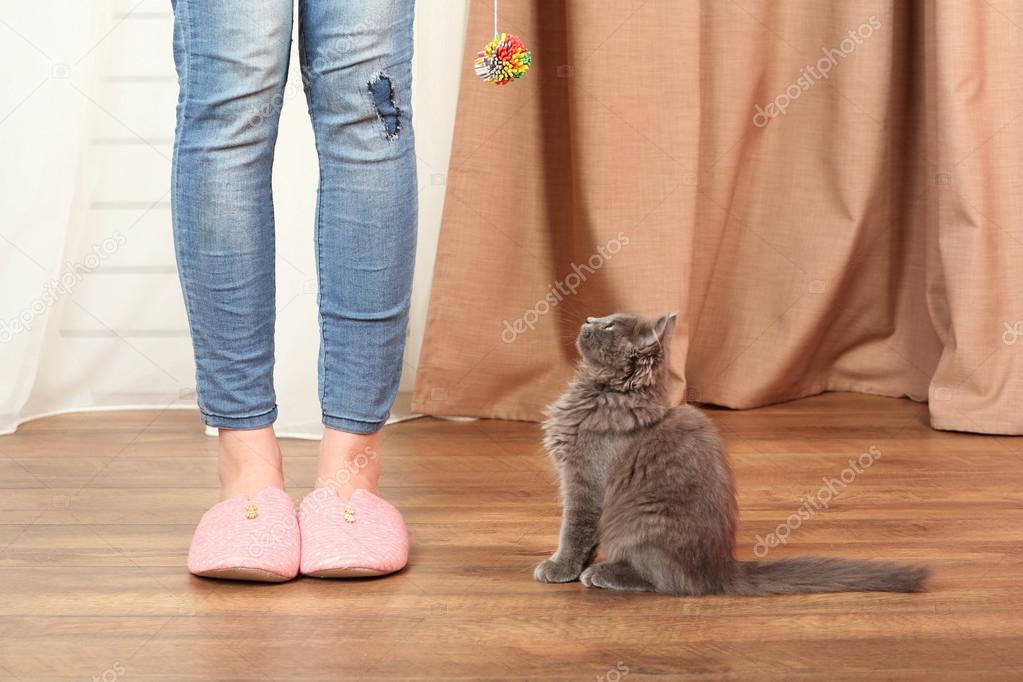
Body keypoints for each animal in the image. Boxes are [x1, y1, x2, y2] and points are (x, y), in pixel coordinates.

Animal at [531, 312, 932, 593]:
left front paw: (560, 568)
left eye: (610, 325)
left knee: (669, 581)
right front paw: (568, 568)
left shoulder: (585, 482)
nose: (588, 318)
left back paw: (603, 573)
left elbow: (574, 530)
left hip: (642, 523)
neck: (601, 397)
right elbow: (580, 537)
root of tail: (719, 569)